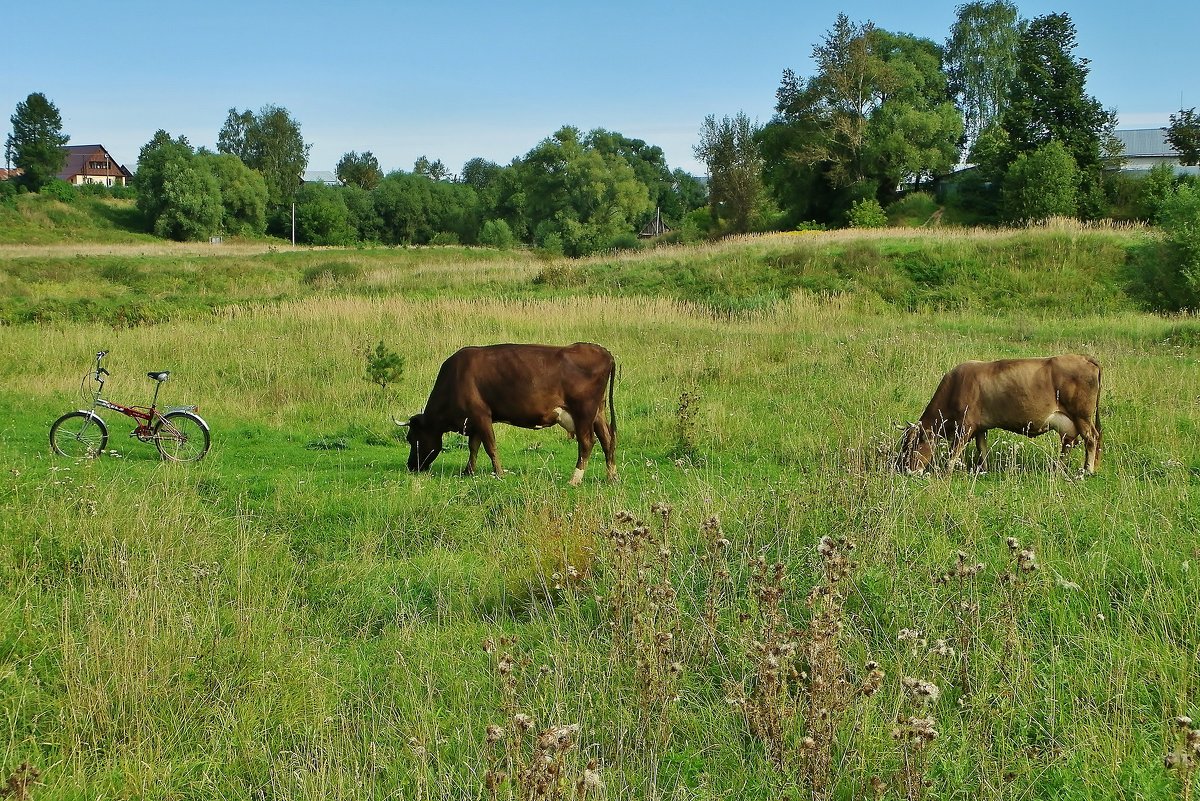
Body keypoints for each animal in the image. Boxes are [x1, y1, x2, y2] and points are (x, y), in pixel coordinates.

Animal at [396, 340, 614, 484]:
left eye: (411, 437)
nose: (411, 466)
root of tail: (603, 352)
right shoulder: (474, 421)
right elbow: (474, 447)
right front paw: (468, 471)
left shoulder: (481, 415)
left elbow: (490, 446)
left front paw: (499, 473)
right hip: (598, 412)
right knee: (607, 439)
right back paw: (612, 475)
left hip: (583, 412)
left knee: (587, 442)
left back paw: (575, 479)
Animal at [897, 352, 1099, 472]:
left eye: (912, 445)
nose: (906, 469)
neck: (956, 386)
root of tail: (1084, 358)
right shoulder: (980, 427)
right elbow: (982, 448)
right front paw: (983, 469)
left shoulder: (965, 427)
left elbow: (954, 452)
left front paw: (948, 471)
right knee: (1069, 443)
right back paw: (1057, 468)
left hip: (1082, 417)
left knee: (1091, 438)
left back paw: (1087, 469)